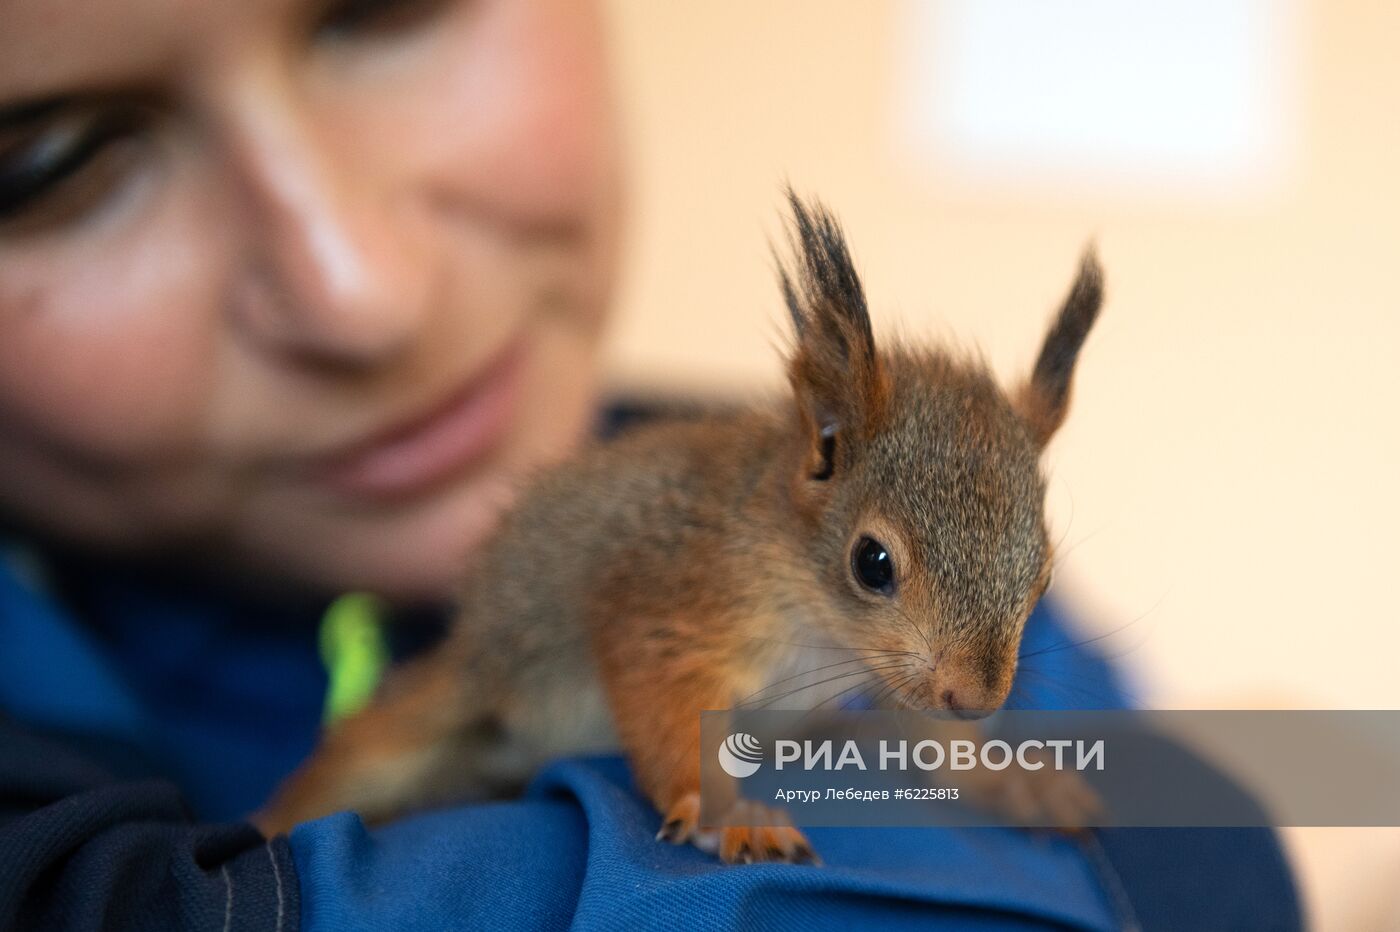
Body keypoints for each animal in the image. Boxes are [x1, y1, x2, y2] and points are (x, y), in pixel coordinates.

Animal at [254, 190, 1103, 862]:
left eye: (1044, 576)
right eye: (872, 562)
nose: (976, 697)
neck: (818, 624)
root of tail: (480, 651)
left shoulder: (888, 677)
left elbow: (923, 737)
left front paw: (1009, 779)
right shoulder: (674, 594)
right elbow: (661, 694)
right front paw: (723, 815)